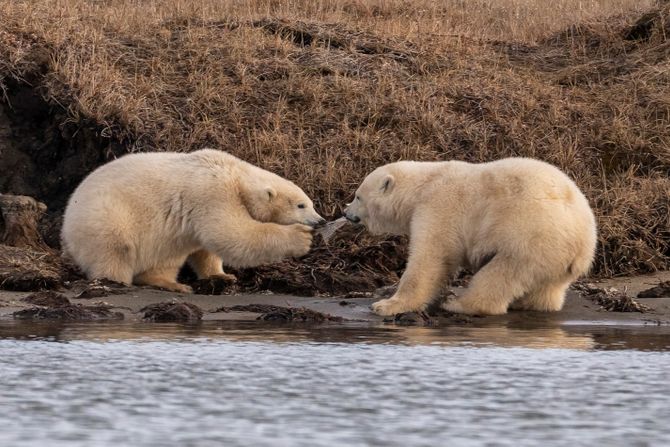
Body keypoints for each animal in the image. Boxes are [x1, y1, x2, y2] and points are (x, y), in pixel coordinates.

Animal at [63, 149, 326, 292]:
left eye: (311, 203)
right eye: (301, 205)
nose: (321, 221)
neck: (234, 173)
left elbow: (206, 248)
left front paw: (222, 275)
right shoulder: (212, 193)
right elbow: (230, 233)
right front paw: (300, 238)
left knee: (167, 255)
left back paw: (169, 282)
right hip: (105, 216)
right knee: (116, 248)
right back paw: (117, 280)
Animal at [346, 159, 600, 316]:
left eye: (358, 197)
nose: (346, 213)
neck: (423, 184)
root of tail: (583, 241)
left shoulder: (438, 207)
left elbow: (431, 257)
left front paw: (386, 305)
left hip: (531, 237)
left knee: (501, 274)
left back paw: (458, 304)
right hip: (556, 257)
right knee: (547, 288)